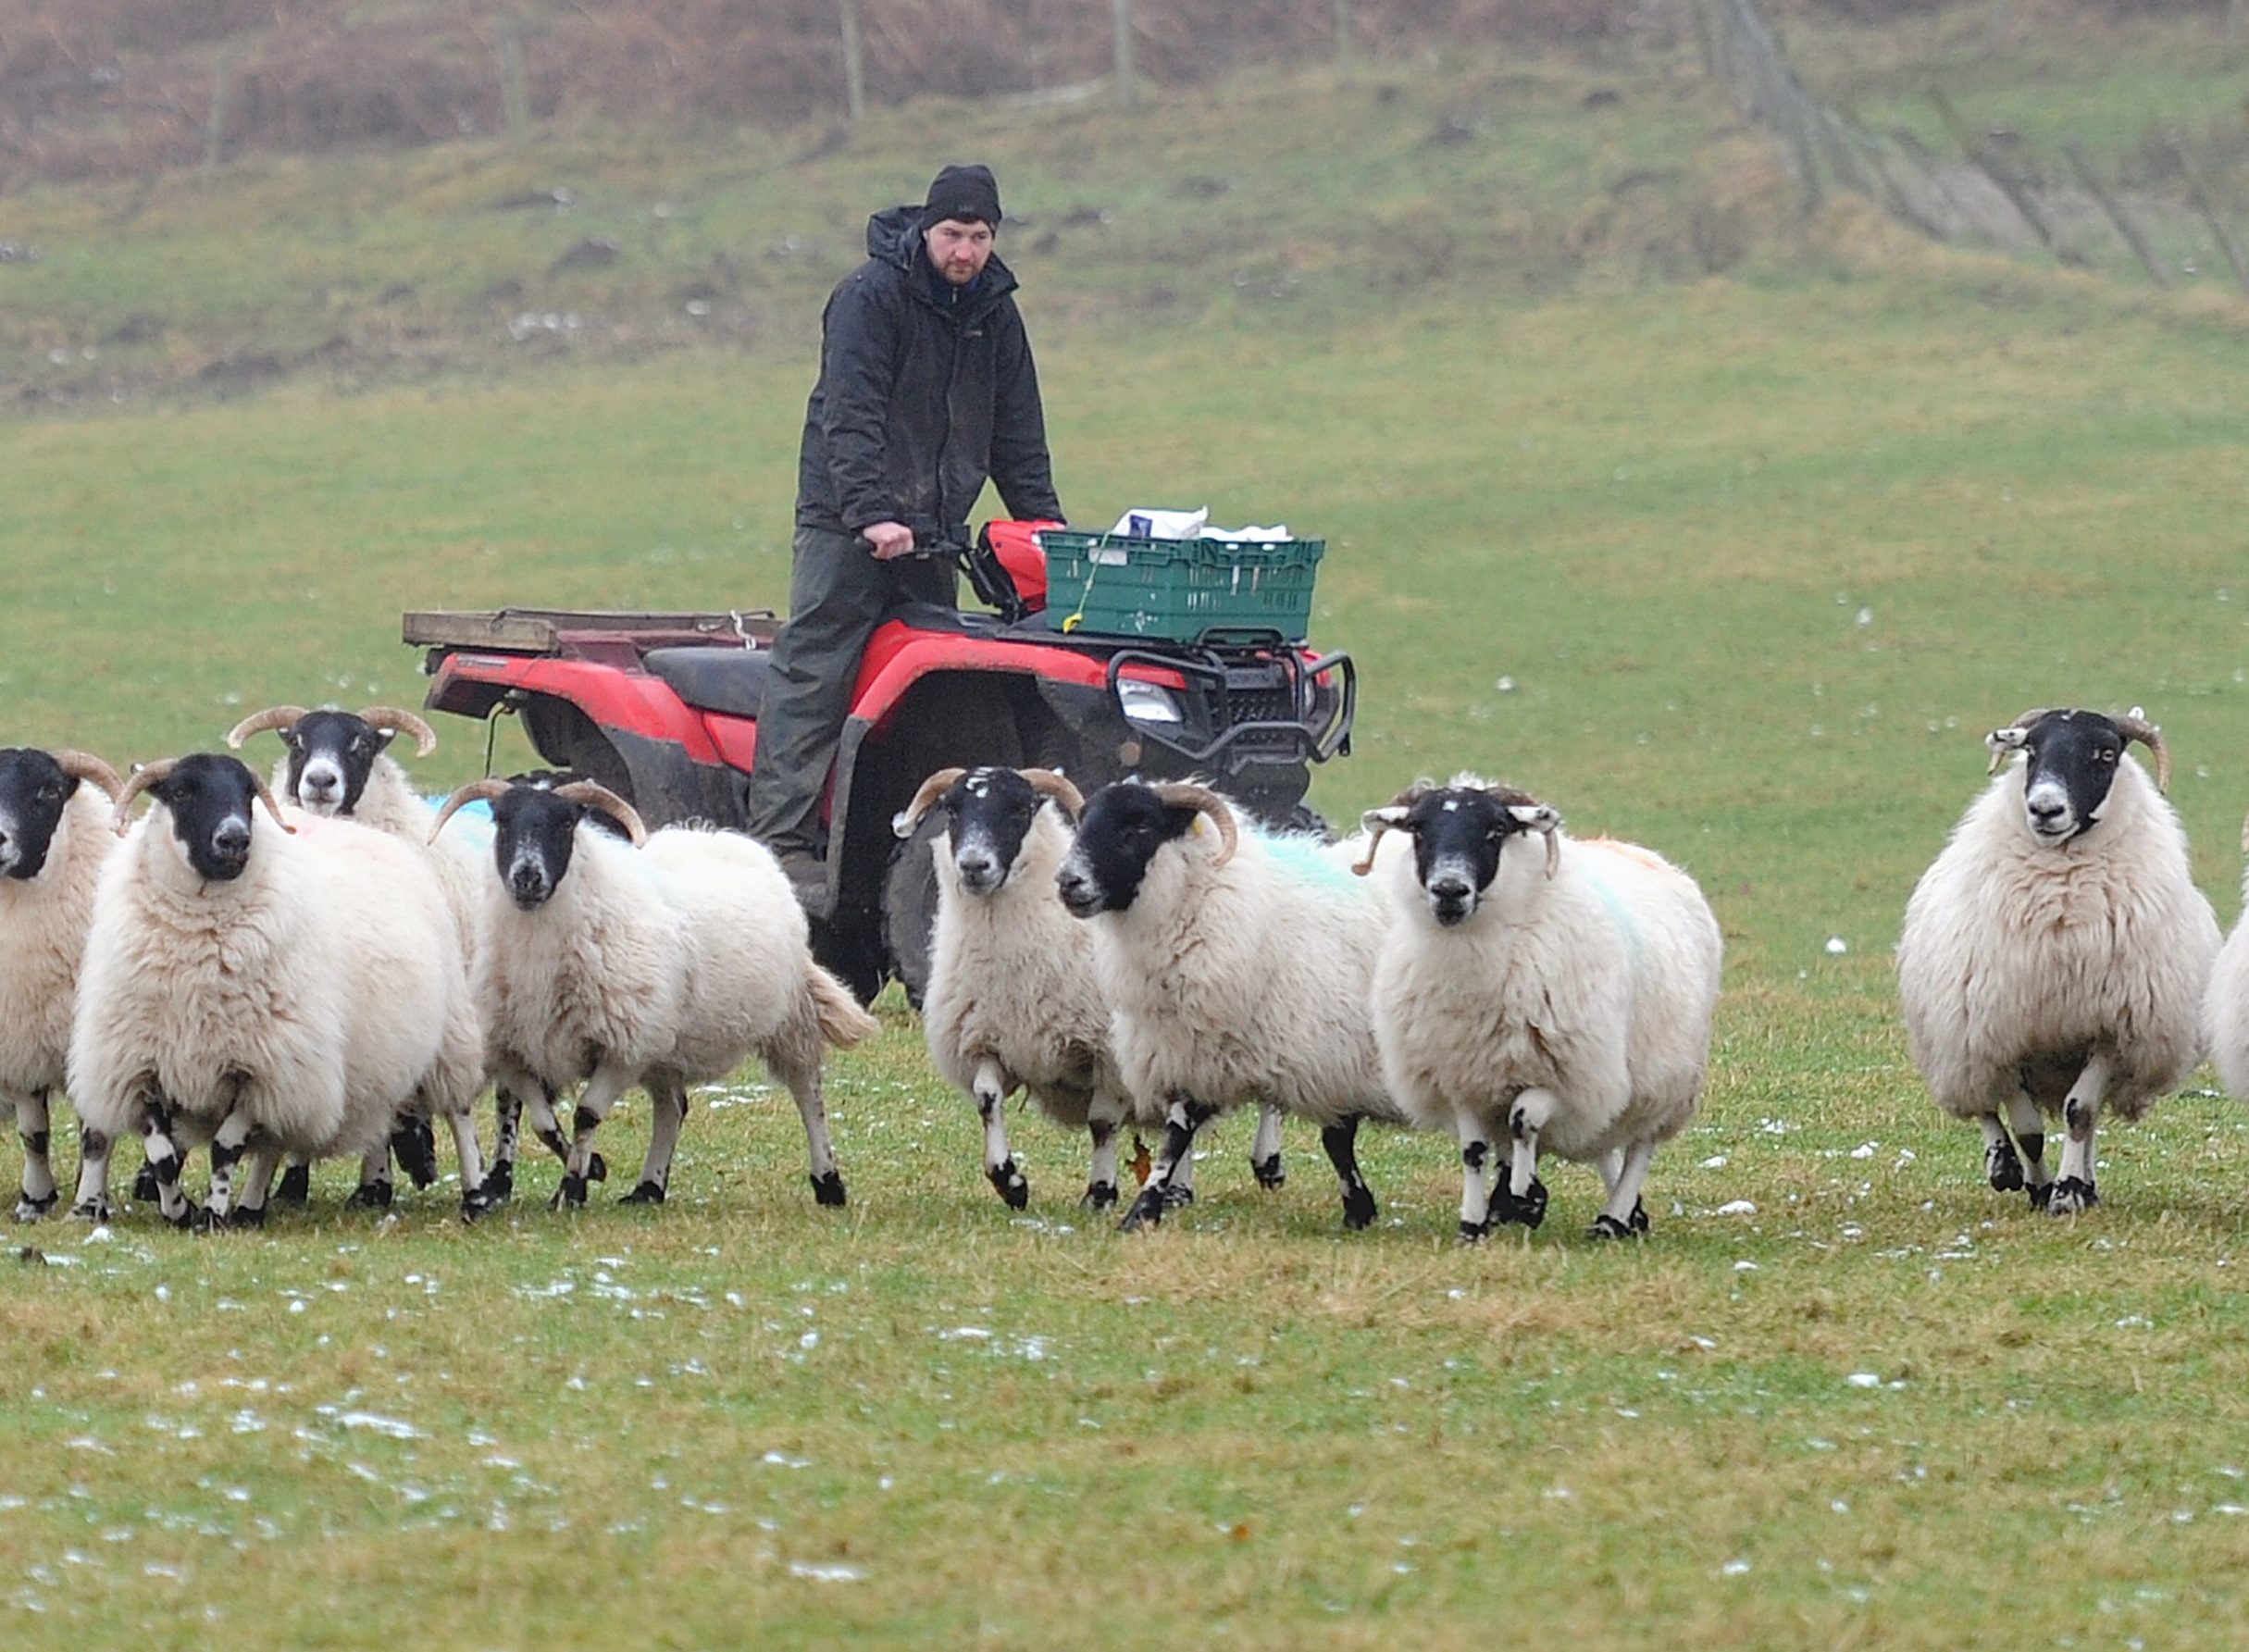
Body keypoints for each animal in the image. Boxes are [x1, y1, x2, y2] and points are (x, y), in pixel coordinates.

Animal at [0, 755, 126, 1223]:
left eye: (49, 791)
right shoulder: (23, 1043)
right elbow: (33, 1134)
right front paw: (33, 1202)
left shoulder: (99, 1051)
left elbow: (96, 1136)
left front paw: (87, 1206)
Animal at [425, 773, 872, 1213]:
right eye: (501, 821)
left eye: (567, 823)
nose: (527, 877)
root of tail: (712, 835)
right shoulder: (515, 1050)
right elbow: (544, 1124)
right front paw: (588, 1173)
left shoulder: (623, 1047)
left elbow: (586, 1115)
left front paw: (572, 1188)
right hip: (664, 1045)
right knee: (671, 1108)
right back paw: (648, 1188)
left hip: (787, 1017)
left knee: (808, 1093)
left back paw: (829, 1182)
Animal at [1057, 782, 1403, 1231]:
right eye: (1084, 822)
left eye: (1141, 825)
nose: (1067, 882)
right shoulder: (1195, 1053)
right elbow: (1178, 1133)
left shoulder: (1331, 1052)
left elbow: (1335, 1138)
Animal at [1897, 710, 2213, 1213]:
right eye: (2030, 749)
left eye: (2106, 752)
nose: (2044, 809)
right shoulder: (2003, 1031)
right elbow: (2028, 1131)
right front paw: (2040, 1187)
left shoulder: (2110, 1028)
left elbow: (2080, 1114)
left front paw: (2069, 1191)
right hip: (1955, 1040)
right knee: (1981, 1103)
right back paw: (2003, 1165)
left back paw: (2084, 1184)